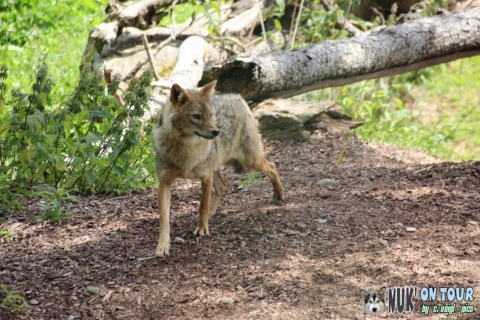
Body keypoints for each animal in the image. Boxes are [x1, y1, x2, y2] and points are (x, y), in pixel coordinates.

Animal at [152, 80, 284, 258]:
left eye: (210, 115)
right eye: (196, 116)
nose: (216, 132)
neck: (186, 150)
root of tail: (237, 96)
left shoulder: (205, 177)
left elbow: (202, 205)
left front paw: (202, 229)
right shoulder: (164, 183)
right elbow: (164, 219)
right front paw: (162, 246)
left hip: (249, 162)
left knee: (272, 166)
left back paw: (279, 195)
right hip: (220, 167)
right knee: (223, 186)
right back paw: (212, 213)